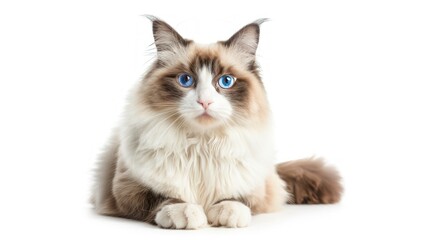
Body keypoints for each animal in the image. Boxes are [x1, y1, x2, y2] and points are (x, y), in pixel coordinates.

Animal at [92, 15, 342, 230]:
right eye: (186, 80)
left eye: (226, 81)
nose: (205, 102)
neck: (202, 145)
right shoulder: (127, 189)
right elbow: (162, 198)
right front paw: (185, 212)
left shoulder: (255, 189)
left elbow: (239, 198)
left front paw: (226, 211)